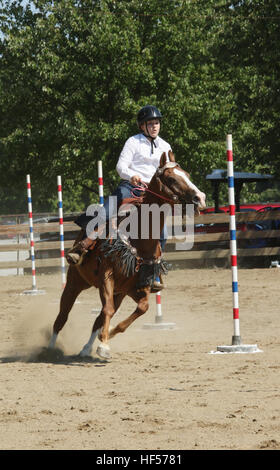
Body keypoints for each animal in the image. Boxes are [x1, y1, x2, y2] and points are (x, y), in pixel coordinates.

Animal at [48, 151, 206, 360]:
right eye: (171, 178)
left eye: (186, 174)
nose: (200, 198)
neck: (139, 237)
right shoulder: (106, 275)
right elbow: (107, 310)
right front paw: (104, 345)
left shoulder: (138, 285)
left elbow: (141, 308)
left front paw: (108, 336)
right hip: (75, 282)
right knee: (62, 317)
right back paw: (49, 349)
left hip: (119, 292)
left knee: (99, 317)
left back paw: (86, 348)